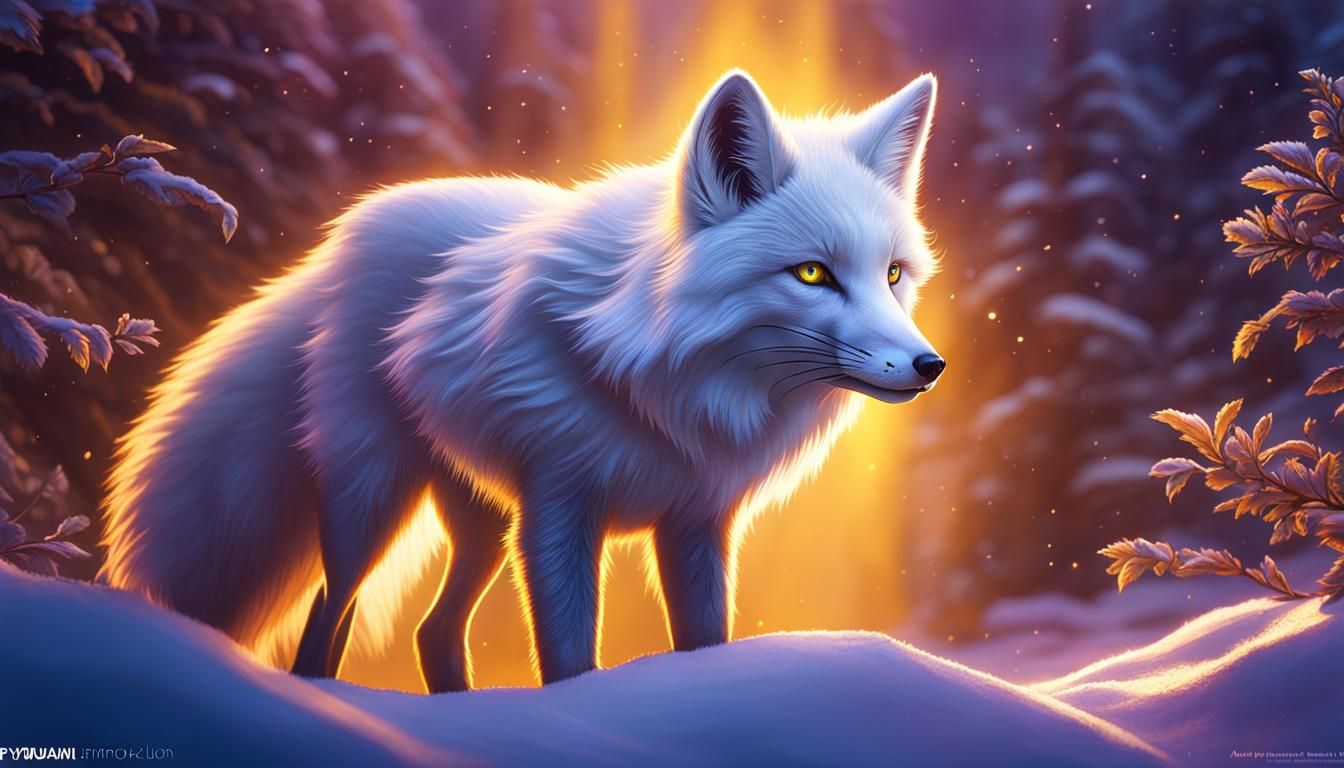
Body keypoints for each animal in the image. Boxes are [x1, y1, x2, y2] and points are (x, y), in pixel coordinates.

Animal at [99, 69, 946, 692]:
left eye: (893, 274)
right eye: (813, 273)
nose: (931, 366)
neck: (671, 391)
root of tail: (342, 238)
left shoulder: (696, 523)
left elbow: (705, 642)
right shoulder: (557, 512)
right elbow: (568, 662)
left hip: (479, 523)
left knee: (433, 633)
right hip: (373, 501)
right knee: (328, 619)